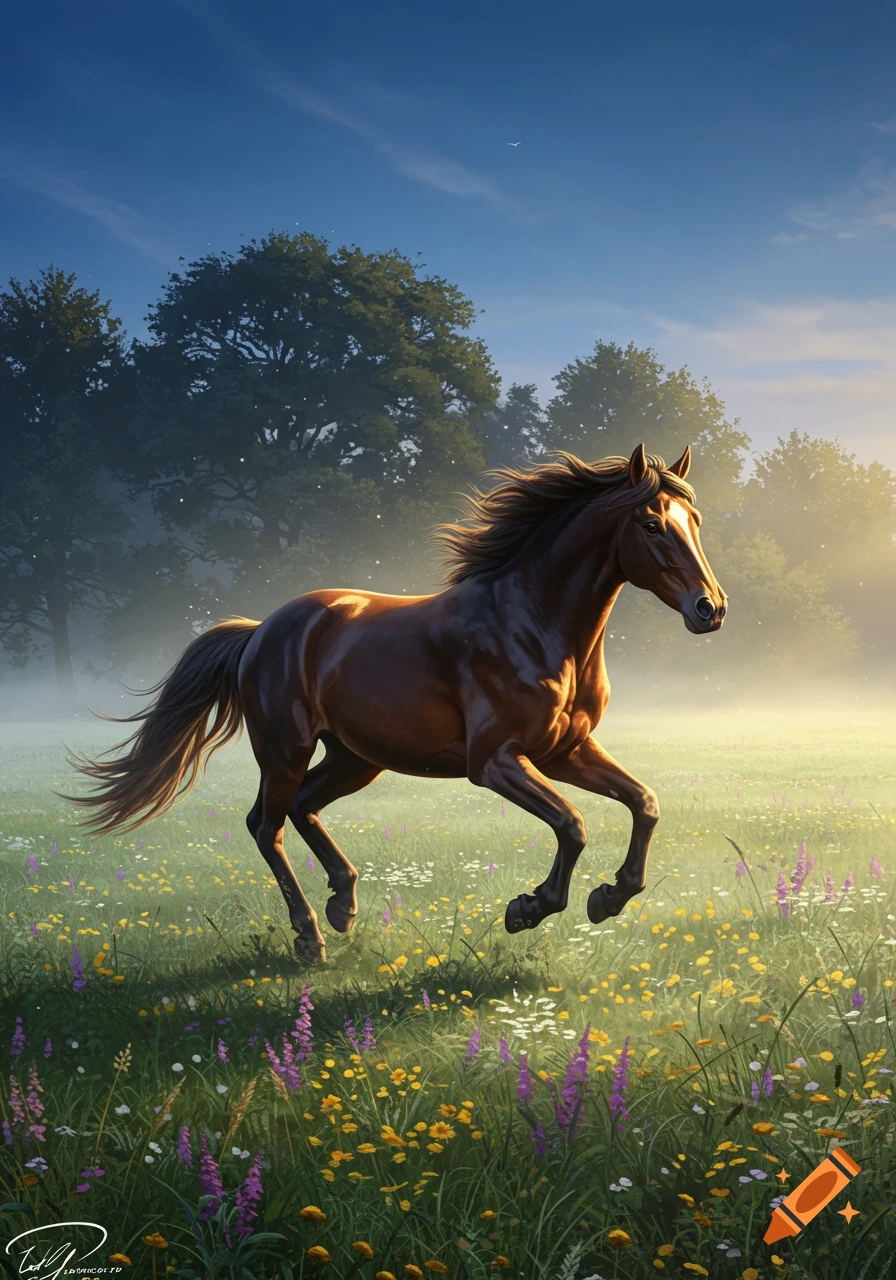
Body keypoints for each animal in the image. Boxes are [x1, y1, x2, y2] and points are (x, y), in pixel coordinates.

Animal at [62, 443, 726, 963]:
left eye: (694, 519)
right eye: (651, 525)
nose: (710, 609)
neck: (533, 622)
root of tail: (260, 630)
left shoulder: (566, 751)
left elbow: (644, 803)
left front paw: (609, 897)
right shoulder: (494, 762)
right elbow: (573, 823)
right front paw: (529, 908)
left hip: (356, 758)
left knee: (302, 808)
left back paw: (343, 902)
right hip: (284, 750)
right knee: (265, 824)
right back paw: (310, 937)